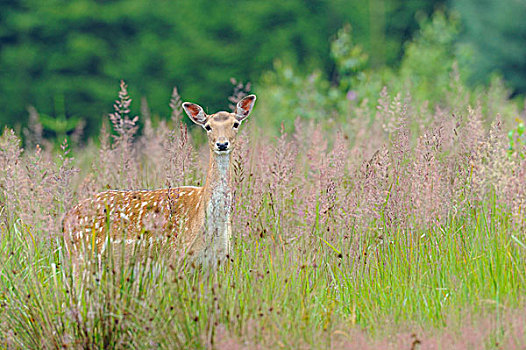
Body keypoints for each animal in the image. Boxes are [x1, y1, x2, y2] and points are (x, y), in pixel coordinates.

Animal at [63, 93, 256, 268]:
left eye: (236, 124)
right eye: (208, 126)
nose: (222, 144)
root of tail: (65, 220)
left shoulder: (217, 263)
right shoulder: (174, 257)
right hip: (81, 255)